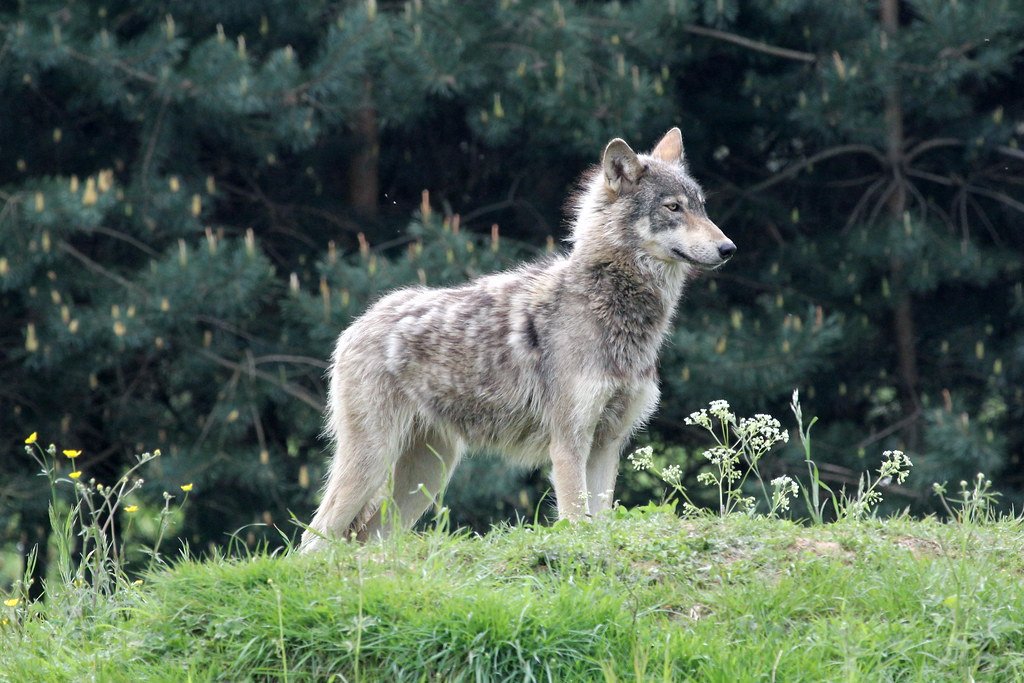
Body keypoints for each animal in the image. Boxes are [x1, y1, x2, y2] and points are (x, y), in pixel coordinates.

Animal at [300, 128, 735, 551]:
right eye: (673, 208)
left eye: (701, 207)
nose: (728, 248)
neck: (611, 307)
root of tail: (357, 324)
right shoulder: (569, 444)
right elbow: (577, 522)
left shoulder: (607, 445)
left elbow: (601, 521)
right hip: (373, 463)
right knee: (313, 537)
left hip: (426, 476)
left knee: (366, 539)